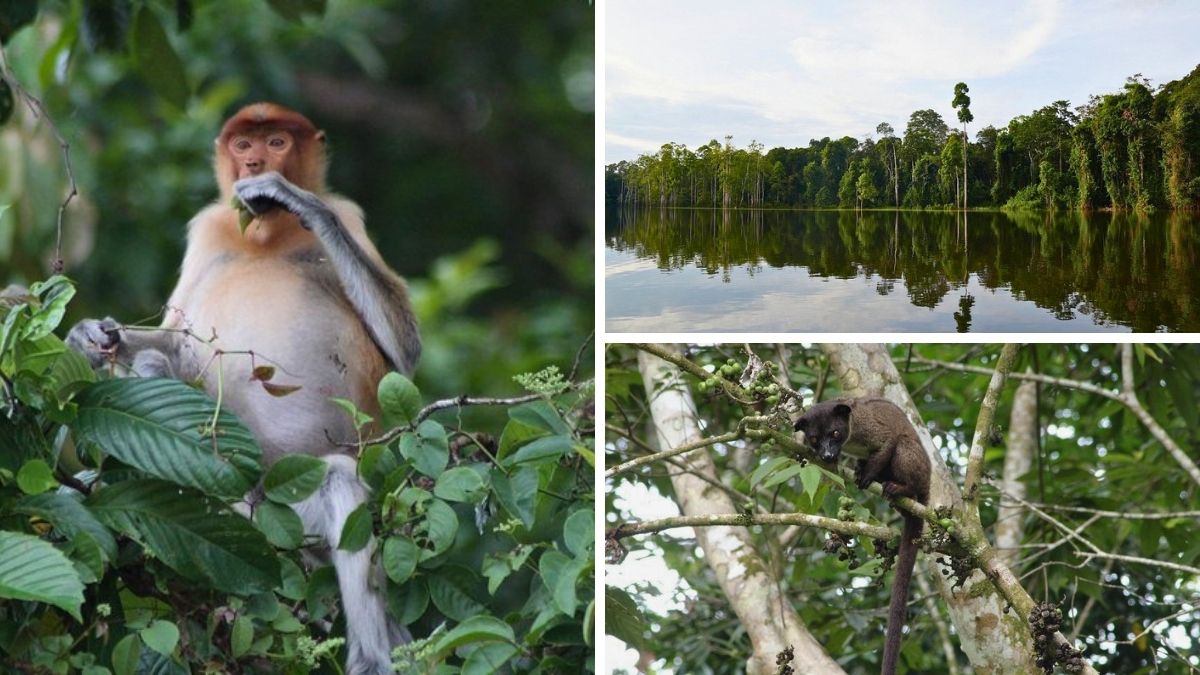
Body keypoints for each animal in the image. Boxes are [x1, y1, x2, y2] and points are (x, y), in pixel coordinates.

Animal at [67, 102, 419, 675]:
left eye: (276, 142)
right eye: (242, 144)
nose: (253, 163)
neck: (265, 238)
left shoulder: (348, 216)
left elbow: (404, 350)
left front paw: (289, 196)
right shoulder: (208, 229)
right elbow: (173, 340)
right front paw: (89, 335)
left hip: (289, 518)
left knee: (338, 480)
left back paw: (372, 657)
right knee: (154, 363)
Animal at [793, 397, 930, 675]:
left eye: (835, 433)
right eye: (814, 439)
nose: (827, 454)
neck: (851, 435)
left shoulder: (872, 430)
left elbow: (889, 442)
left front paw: (867, 476)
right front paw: (854, 468)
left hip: (918, 471)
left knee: (903, 445)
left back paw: (901, 489)